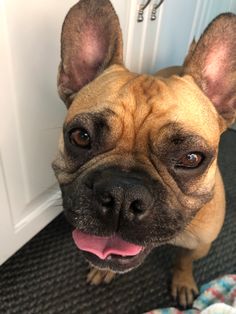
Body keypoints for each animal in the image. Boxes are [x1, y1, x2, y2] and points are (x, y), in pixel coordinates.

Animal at [53, 0, 236, 308]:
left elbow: (184, 260)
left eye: (191, 158)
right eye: (81, 137)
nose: (122, 194)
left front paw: (183, 282)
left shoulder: (200, 244)